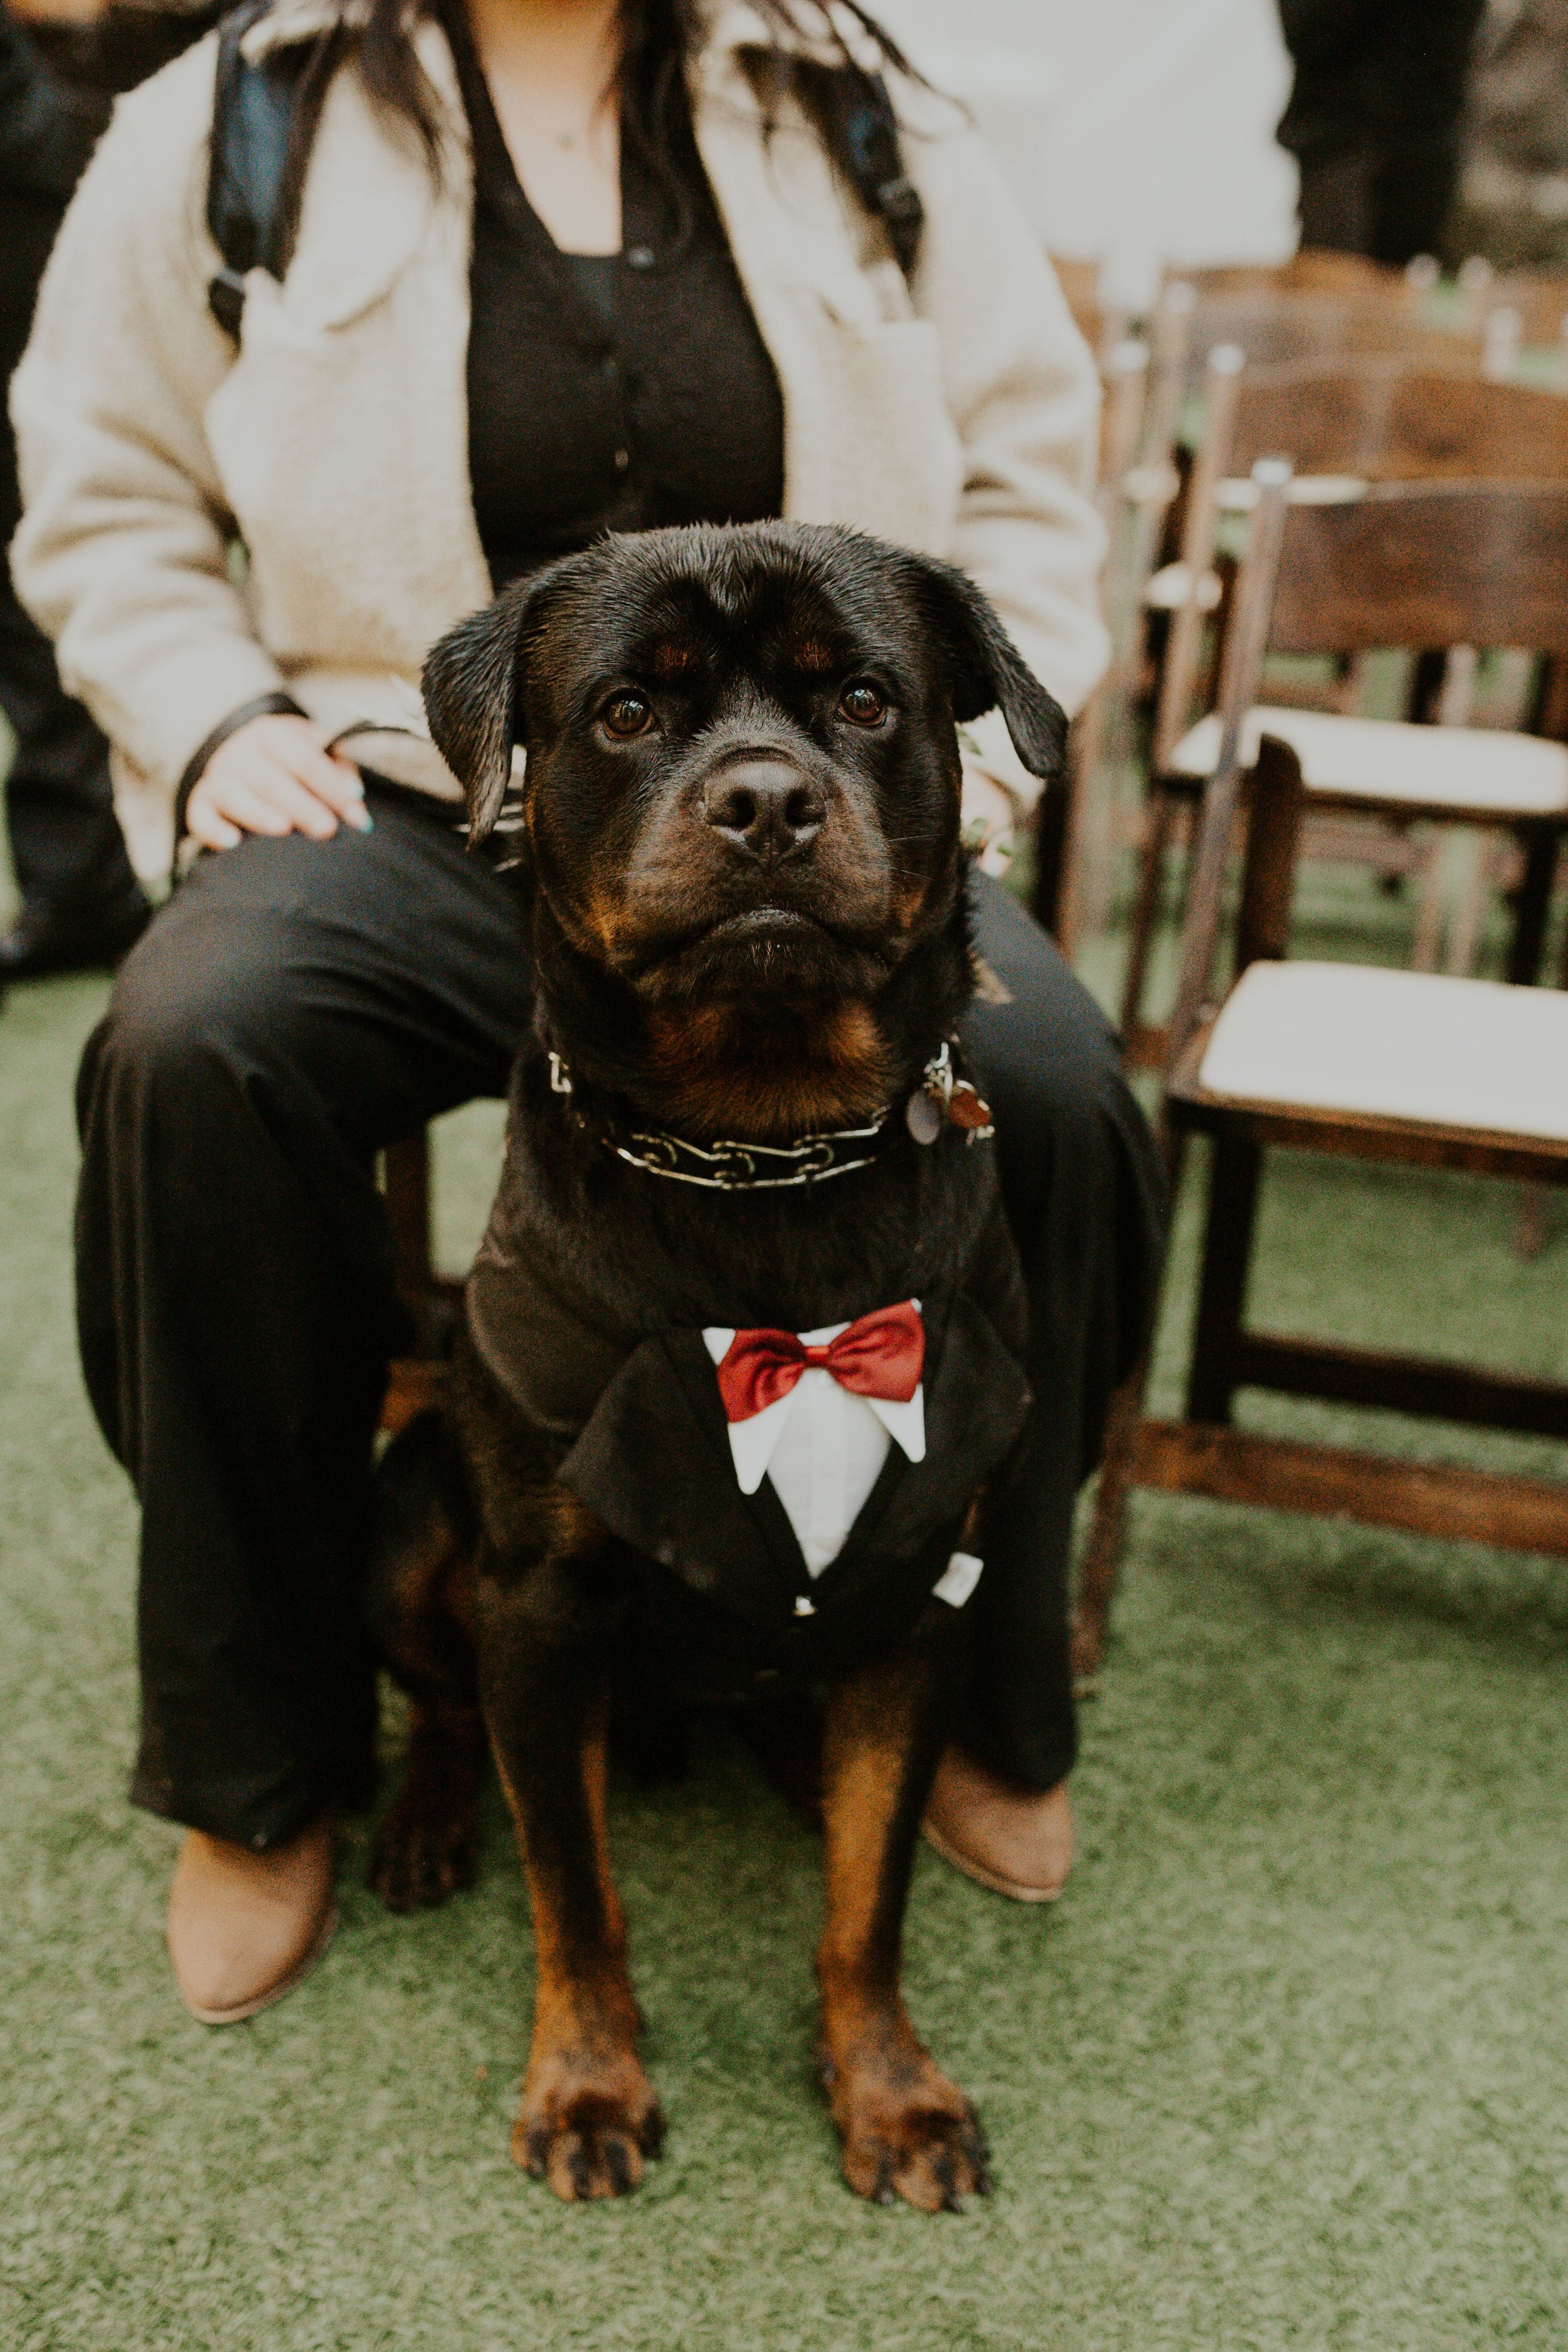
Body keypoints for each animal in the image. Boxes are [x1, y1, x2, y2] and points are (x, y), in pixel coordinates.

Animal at [365, 520, 1065, 2210]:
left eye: (866, 697)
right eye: (626, 711)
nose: (762, 800)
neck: (763, 1155)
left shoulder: (920, 1596)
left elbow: (869, 1901)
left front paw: (889, 2090)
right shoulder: (539, 1604)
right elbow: (574, 1890)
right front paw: (586, 2085)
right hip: (412, 1522)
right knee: (444, 1703)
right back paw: (424, 1818)